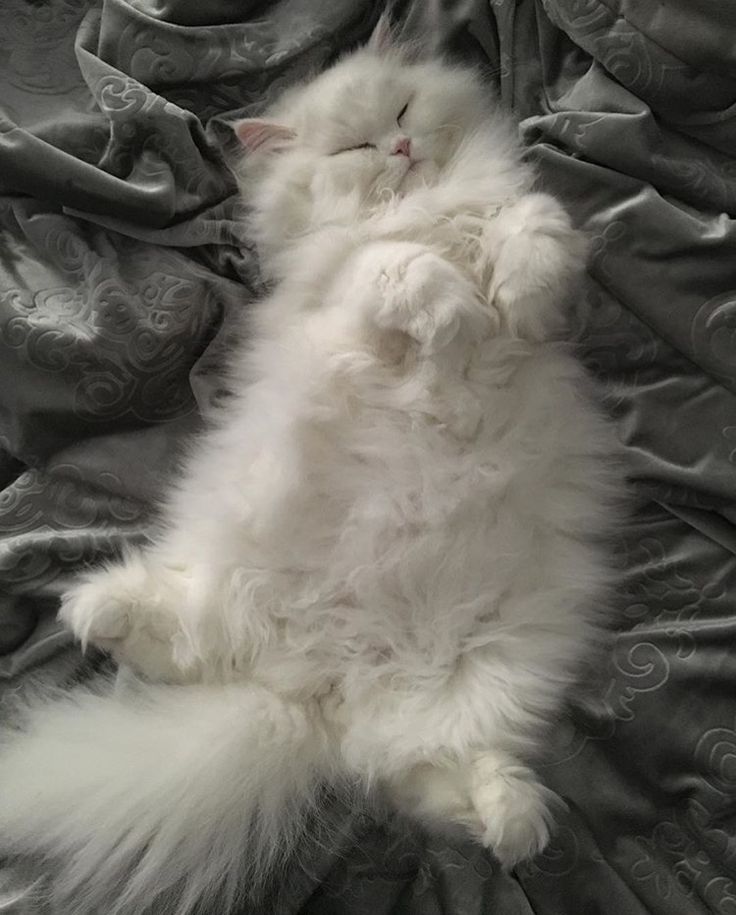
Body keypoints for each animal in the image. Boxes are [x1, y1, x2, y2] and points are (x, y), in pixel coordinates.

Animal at [0, 16, 624, 915]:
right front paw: (459, 315)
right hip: (235, 584)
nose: (400, 146)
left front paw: (500, 292)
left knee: (425, 770)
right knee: (196, 646)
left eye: (403, 110)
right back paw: (97, 607)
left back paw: (516, 823)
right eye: (355, 147)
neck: (421, 209)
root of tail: (315, 691)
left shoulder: (539, 276)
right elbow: (405, 271)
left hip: (501, 665)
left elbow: (533, 231)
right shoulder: (349, 287)